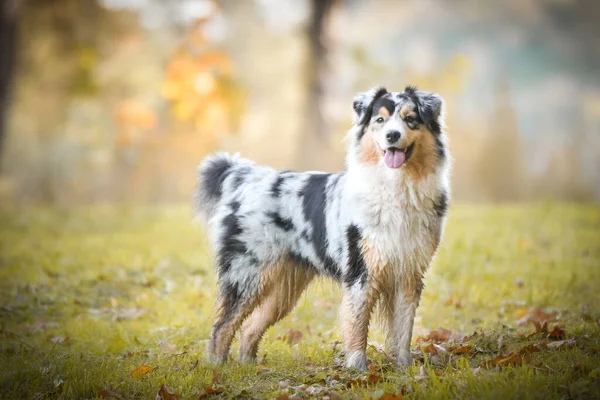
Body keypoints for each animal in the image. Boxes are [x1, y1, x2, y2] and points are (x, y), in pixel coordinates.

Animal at [193, 86, 450, 370]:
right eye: (379, 120)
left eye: (410, 119)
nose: (392, 135)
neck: (396, 186)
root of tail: (246, 179)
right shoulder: (361, 271)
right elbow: (358, 323)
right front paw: (358, 368)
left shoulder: (408, 272)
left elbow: (404, 327)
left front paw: (404, 368)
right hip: (247, 274)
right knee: (222, 327)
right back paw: (217, 366)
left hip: (283, 289)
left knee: (249, 326)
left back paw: (250, 366)